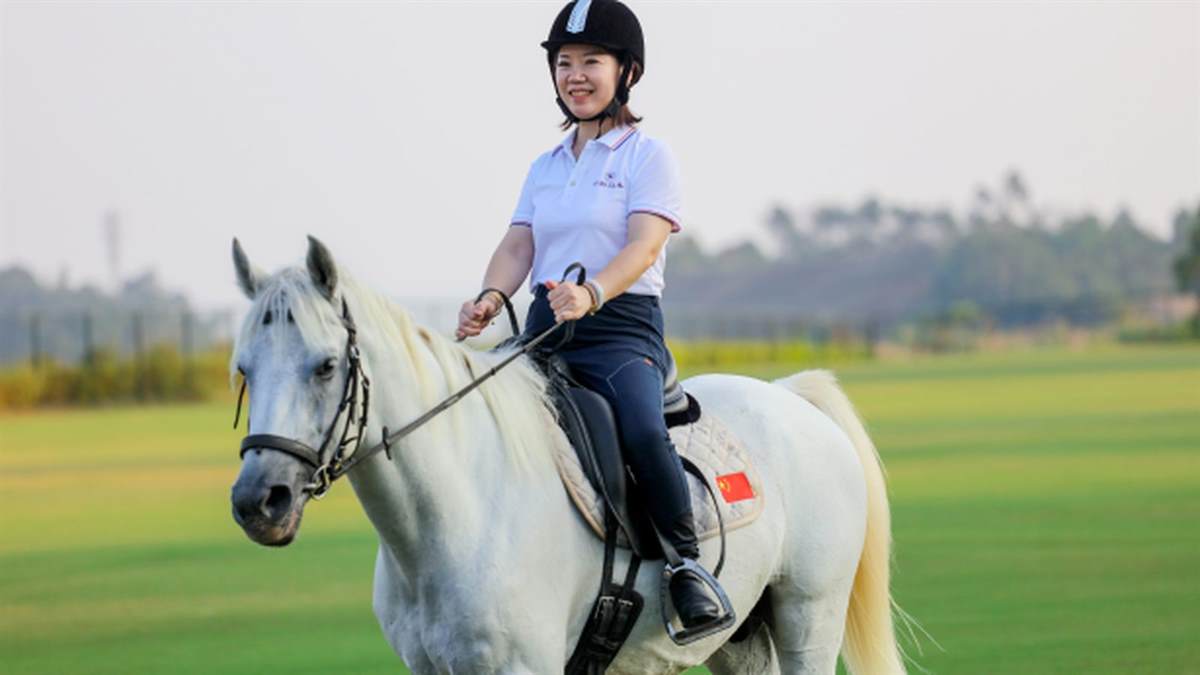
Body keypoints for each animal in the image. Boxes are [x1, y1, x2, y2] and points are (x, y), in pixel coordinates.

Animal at [228, 236, 906, 675]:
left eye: (326, 366)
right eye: (244, 369)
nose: (259, 502)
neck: (457, 510)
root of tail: (792, 396)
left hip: (808, 620)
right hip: (741, 639)